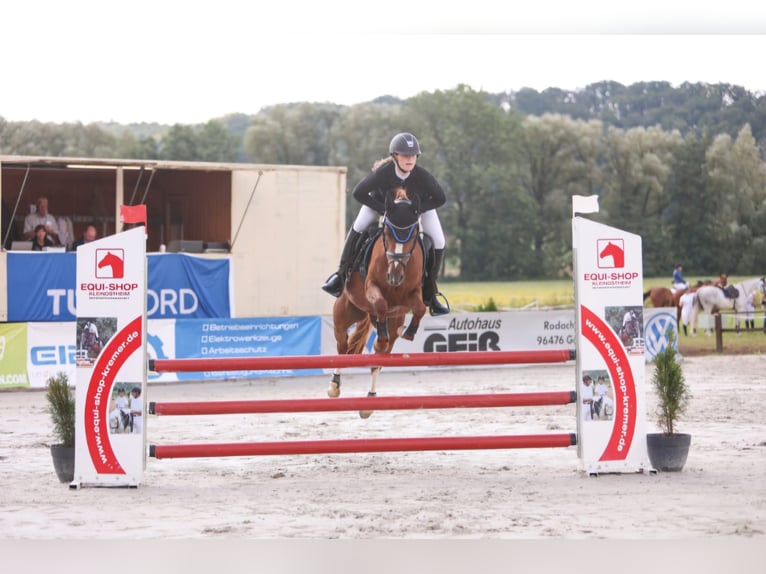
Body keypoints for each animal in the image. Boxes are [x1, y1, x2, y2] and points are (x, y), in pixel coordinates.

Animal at [328, 189, 428, 418]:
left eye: (412, 235)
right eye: (388, 233)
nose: (395, 275)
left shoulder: (412, 294)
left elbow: (420, 307)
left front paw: (409, 332)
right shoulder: (372, 286)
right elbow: (381, 302)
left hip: (391, 320)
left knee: (379, 357)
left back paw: (369, 401)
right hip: (344, 314)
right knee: (342, 347)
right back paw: (334, 386)